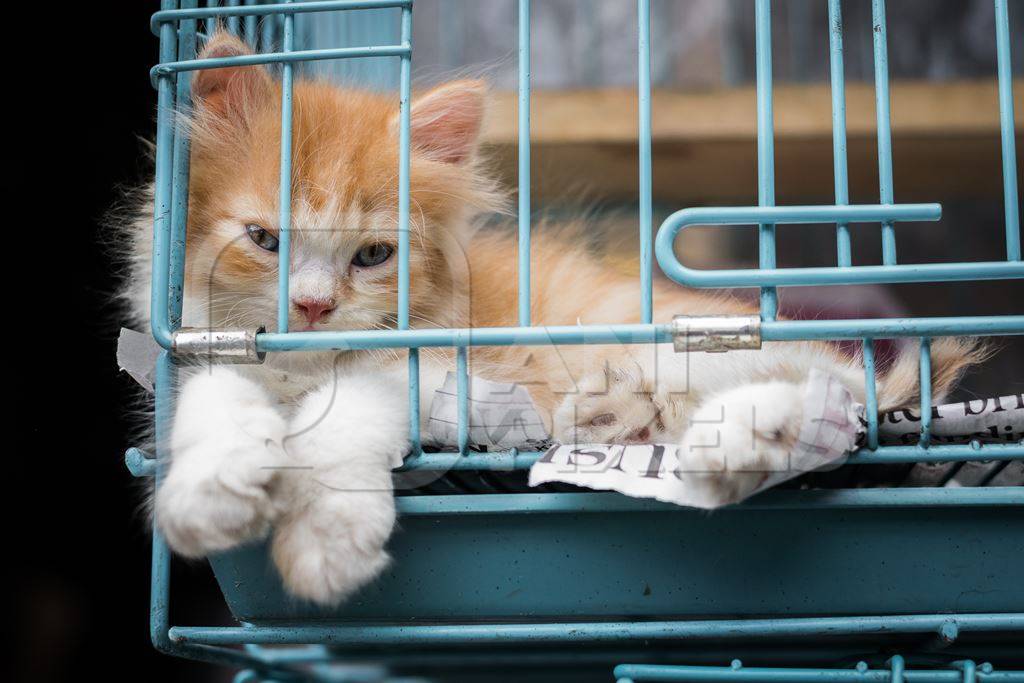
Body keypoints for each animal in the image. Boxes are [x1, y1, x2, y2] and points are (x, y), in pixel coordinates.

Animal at [119, 34, 983, 606]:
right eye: (264, 239)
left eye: (372, 254)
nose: (313, 305)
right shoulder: (208, 349)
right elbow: (214, 402)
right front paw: (209, 493)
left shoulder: (436, 370)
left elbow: (344, 417)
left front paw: (326, 541)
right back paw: (618, 416)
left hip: (674, 338)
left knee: (827, 391)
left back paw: (736, 440)